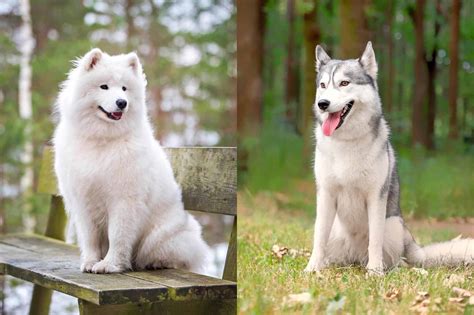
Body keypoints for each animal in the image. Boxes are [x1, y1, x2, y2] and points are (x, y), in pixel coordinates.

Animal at [52, 48, 210, 276]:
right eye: (104, 86)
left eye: (124, 89)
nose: (122, 102)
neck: (102, 139)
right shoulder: (82, 200)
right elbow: (90, 237)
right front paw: (90, 262)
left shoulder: (124, 200)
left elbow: (118, 235)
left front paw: (109, 265)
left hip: (163, 237)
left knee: (178, 258)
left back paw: (158, 263)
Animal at [306, 42, 472, 276]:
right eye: (323, 85)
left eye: (344, 83)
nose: (322, 103)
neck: (347, 142)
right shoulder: (326, 195)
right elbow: (318, 238)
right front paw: (312, 268)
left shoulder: (376, 197)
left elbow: (375, 241)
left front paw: (375, 272)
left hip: (393, 224)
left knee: (397, 259)